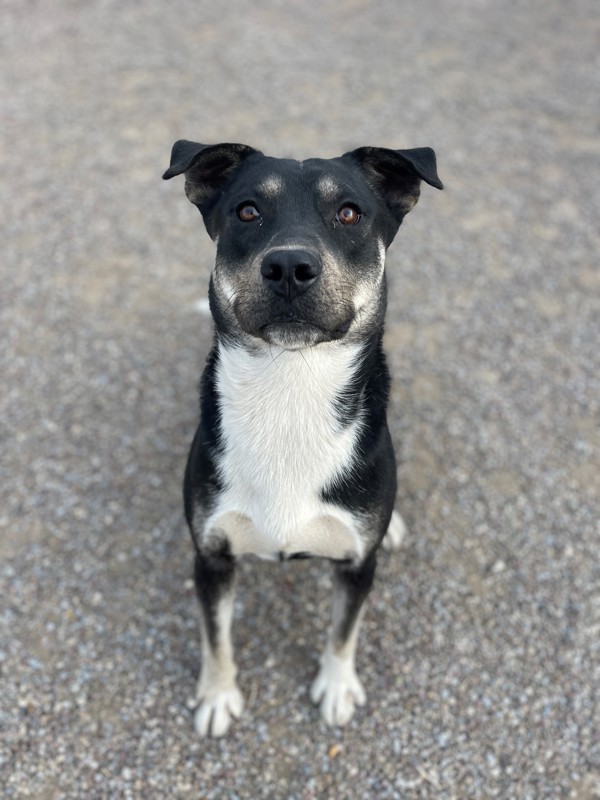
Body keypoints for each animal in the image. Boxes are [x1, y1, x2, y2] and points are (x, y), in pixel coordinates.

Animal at [162, 139, 442, 736]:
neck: (290, 392)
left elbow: (343, 631)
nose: (289, 266)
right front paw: (218, 696)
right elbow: (216, 637)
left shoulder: (359, 566)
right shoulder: (211, 559)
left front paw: (336, 687)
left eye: (349, 213)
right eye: (247, 211)